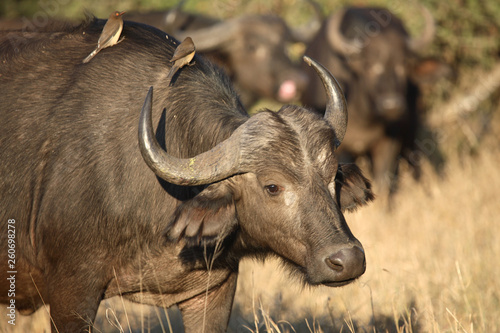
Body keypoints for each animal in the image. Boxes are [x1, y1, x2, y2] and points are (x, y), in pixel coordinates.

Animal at [300, 5, 450, 195]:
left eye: (402, 65)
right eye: (369, 65)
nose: (391, 106)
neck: (364, 117)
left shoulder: (389, 143)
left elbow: (384, 182)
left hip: (411, 133)